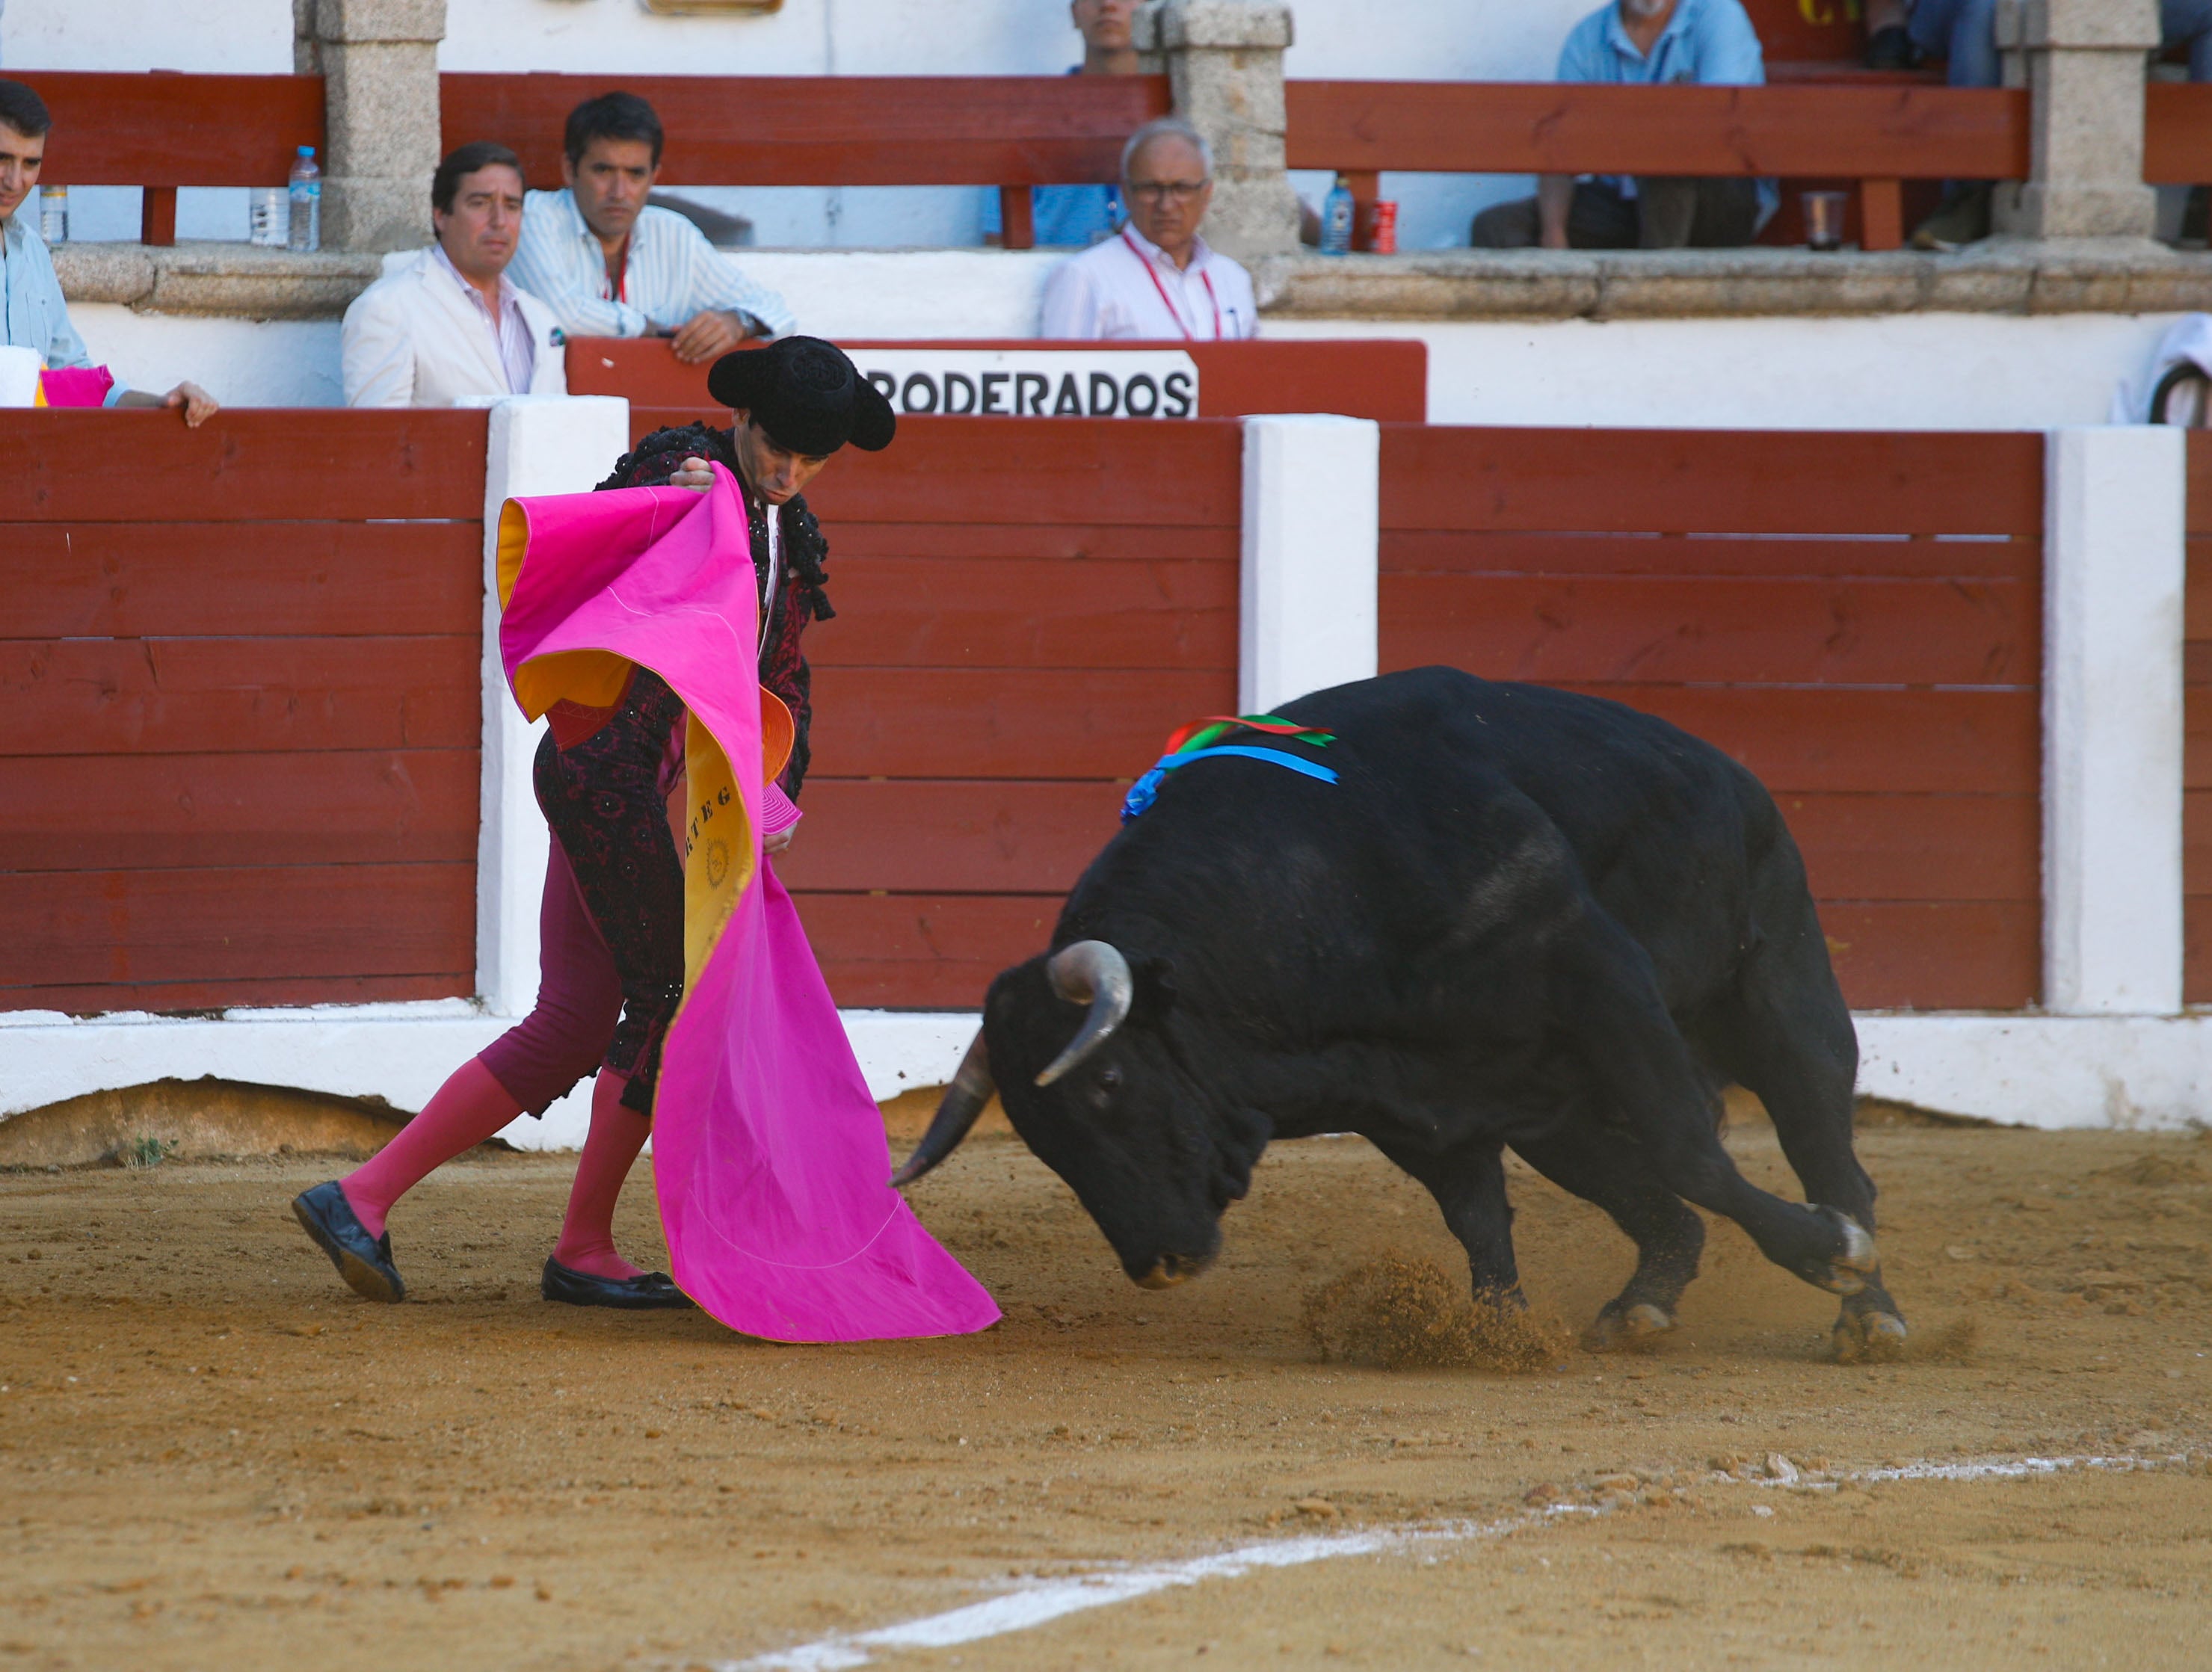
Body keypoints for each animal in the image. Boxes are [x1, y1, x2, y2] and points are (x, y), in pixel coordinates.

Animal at [889, 667, 1911, 1362]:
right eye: (1038, 1136)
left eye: (1106, 1076)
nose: (1158, 1261)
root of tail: (1722, 766)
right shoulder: (1408, 1100)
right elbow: (1476, 1211)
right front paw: (1495, 1334)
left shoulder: (1600, 977)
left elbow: (1687, 1149)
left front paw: (1831, 1250)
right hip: (1553, 1109)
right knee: (1658, 1209)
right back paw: (1640, 1304)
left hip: (1780, 994)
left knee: (1825, 1150)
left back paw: (1870, 1309)